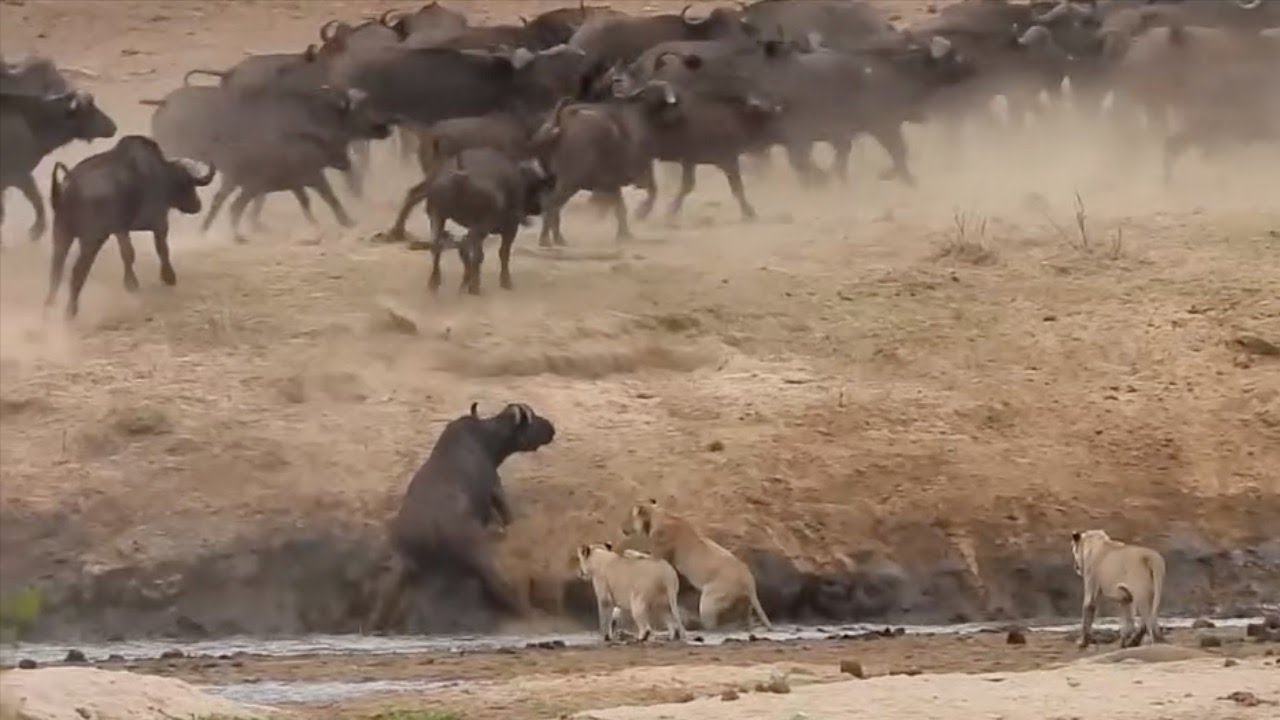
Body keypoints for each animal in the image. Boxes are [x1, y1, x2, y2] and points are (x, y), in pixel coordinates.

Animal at [1, 77, 117, 243]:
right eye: (88, 110)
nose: (113, 127)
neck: (32, 122)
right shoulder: (19, 175)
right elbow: (36, 199)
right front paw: (36, 231)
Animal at [45, 136, 215, 318]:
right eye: (188, 184)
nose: (197, 205)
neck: (160, 175)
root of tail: (69, 186)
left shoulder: (121, 229)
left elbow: (127, 253)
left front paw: (131, 284)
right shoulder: (160, 222)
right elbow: (162, 249)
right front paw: (169, 277)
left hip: (61, 234)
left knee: (56, 269)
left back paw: (50, 303)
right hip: (91, 240)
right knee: (77, 271)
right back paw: (70, 310)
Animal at [372, 402, 556, 632]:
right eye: (532, 419)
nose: (551, 429)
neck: (487, 440)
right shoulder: (495, 488)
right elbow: (507, 514)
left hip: (401, 570)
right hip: (481, 557)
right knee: (502, 587)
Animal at [420, 148, 555, 295]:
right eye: (538, 185)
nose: (539, 207)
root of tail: (460, 173)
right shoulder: (511, 227)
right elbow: (503, 253)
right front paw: (506, 282)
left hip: (437, 216)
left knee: (438, 245)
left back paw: (436, 281)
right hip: (481, 225)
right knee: (466, 246)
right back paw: (473, 285)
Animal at [623, 500, 772, 631]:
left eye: (629, 517)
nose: (622, 529)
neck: (657, 515)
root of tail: (748, 579)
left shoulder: (658, 556)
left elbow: (642, 555)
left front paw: (628, 552)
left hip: (709, 599)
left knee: (712, 624)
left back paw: (695, 624)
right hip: (741, 603)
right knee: (745, 618)